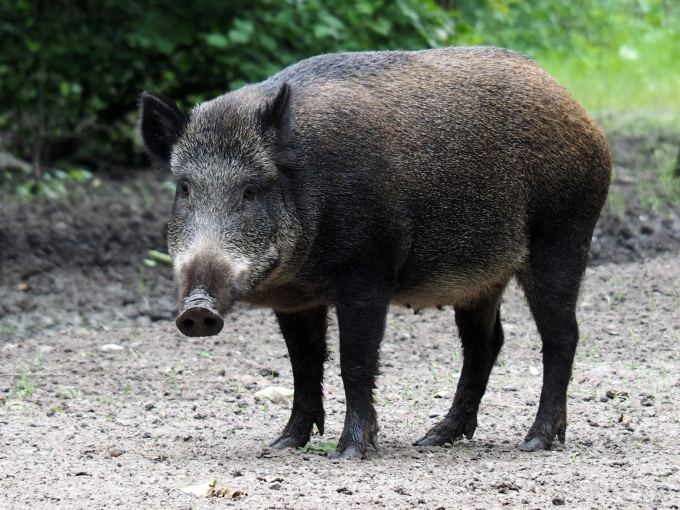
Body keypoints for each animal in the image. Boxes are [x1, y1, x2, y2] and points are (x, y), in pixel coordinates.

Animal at [139, 46, 611, 459]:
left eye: (250, 190)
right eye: (185, 188)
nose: (197, 310)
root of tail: (582, 115)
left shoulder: (367, 275)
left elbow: (356, 362)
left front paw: (350, 452)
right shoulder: (295, 299)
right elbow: (304, 364)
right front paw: (283, 444)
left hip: (563, 236)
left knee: (561, 336)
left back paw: (536, 441)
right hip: (481, 278)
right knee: (486, 344)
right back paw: (434, 437)